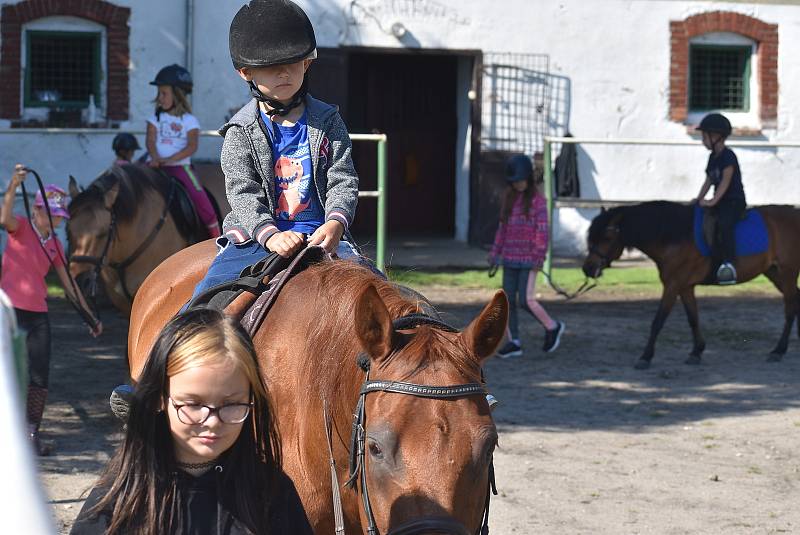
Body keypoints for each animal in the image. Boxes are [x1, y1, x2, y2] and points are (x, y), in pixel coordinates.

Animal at [580, 200, 800, 368]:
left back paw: (778, 350)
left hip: (787, 273)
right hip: (774, 273)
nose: (588, 268)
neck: (674, 235)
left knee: (790, 308)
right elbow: (693, 318)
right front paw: (696, 352)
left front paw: (645, 357)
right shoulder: (684, 286)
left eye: (607, 237)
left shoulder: (672, 285)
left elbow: (658, 321)